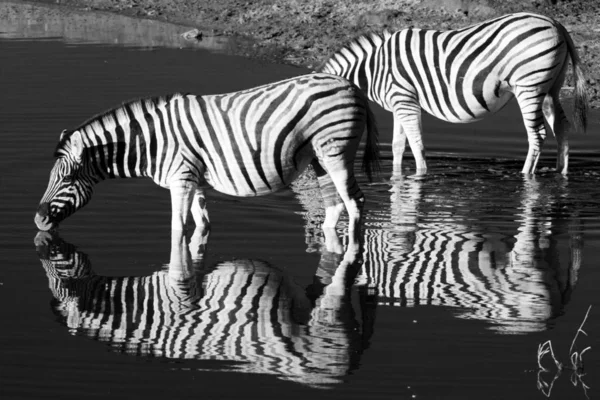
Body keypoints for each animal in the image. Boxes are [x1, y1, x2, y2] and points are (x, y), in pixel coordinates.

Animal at [34, 73, 380, 258]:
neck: (153, 141)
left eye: (67, 179)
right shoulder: (195, 180)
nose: (37, 220)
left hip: (336, 151)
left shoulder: (181, 179)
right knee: (335, 205)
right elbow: (201, 225)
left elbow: (177, 228)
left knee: (355, 202)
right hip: (319, 158)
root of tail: (352, 87)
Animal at [322, 12, 588, 174]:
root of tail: (555, 23)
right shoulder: (398, 103)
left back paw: (525, 176)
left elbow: (417, 145)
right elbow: (398, 146)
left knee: (537, 134)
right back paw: (561, 173)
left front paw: (420, 177)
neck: (375, 68)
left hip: (529, 86)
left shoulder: (405, 99)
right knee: (561, 127)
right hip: (551, 88)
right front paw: (397, 178)